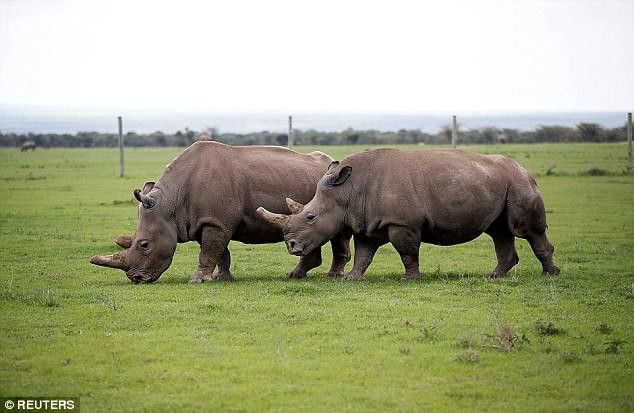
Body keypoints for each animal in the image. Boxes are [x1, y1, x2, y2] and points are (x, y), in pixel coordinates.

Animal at [90, 140, 350, 282]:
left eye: (144, 245)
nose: (136, 279)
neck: (170, 204)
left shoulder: (215, 221)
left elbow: (208, 251)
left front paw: (197, 281)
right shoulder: (209, 221)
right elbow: (219, 252)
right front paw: (221, 278)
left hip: (333, 193)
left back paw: (326, 276)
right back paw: (296, 276)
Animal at [256, 147, 556, 280]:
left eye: (311, 217)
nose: (292, 246)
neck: (348, 191)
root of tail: (526, 170)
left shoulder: (402, 223)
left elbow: (407, 251)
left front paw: (409, 278)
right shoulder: (367, 222)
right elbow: (364, 253)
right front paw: (353, 278)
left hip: (518, 183)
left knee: (526, 230)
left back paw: (550, 275)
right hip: (499, 183)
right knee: (499, 231)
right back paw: (495, 276)